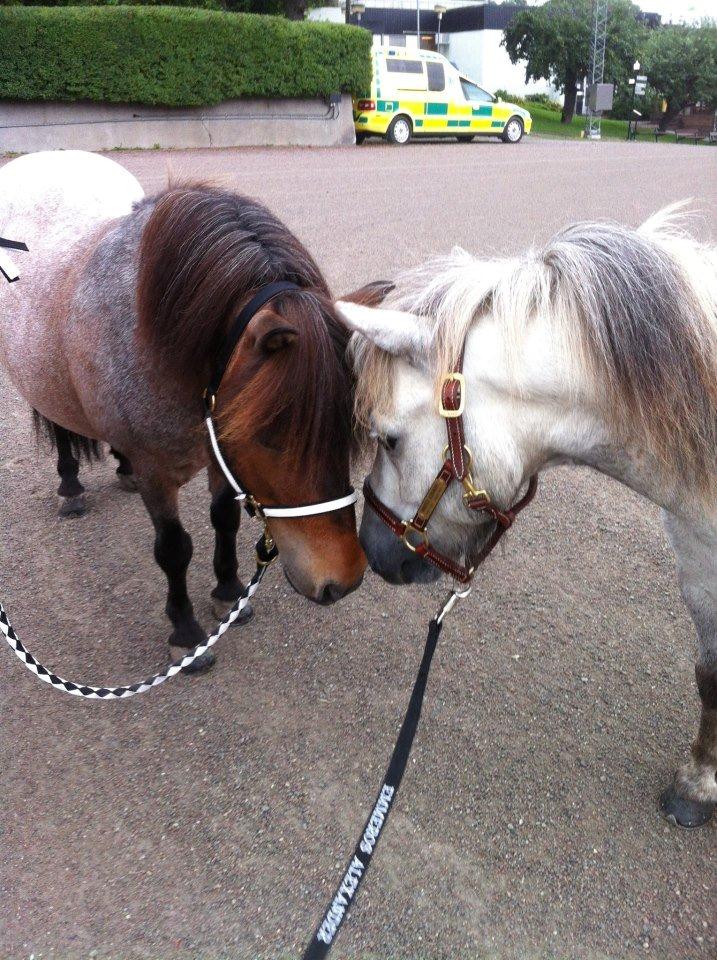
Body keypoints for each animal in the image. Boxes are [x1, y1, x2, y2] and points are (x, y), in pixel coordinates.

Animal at [0, 152, 366, 676]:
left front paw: (229, 592)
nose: (342, 579)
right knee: (61, 426)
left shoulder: (218, 449)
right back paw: (70, 485)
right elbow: (174, 550)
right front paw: (186, 633)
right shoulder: (160, 472)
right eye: (270, 435)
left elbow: (224, 519)